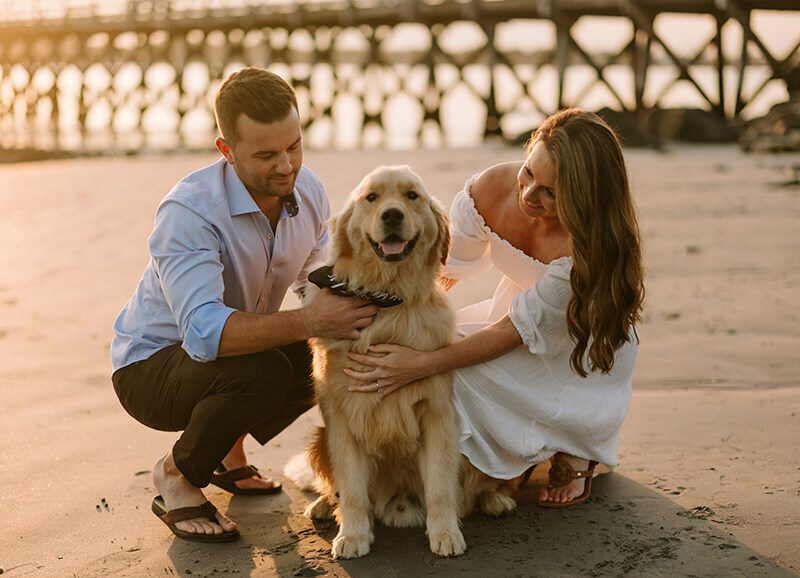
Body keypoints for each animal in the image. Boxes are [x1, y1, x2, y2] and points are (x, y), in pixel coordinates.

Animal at [298, 164, 462, 556]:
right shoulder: (340, 419)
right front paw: (353, 534)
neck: (387, 299)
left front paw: (446, 532)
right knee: (335, 487)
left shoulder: (437, 411)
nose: (392, 215)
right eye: (371, 198)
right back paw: (324, 505)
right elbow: (352, 490)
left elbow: (440, 484)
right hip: (319, 438)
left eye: (411, 196)